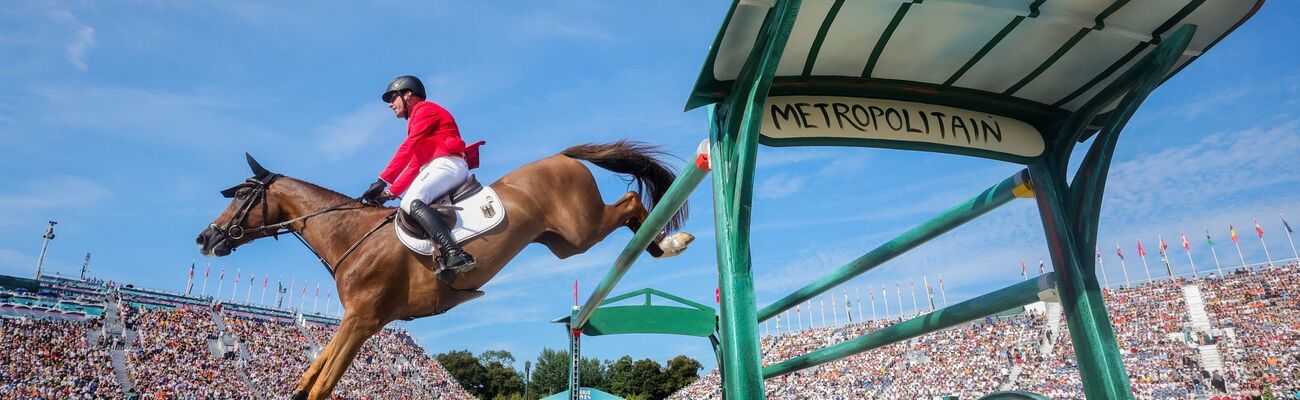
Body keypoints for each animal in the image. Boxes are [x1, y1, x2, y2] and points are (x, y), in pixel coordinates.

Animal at [193, 142, 691, 397]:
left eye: (244, 196)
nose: (205, 239)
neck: (350, 235)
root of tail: (564, 156)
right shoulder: (355, 322)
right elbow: (310, 376)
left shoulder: (362, 321)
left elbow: (322, 385)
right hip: (564, 243)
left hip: (581, 227)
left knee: (631, 202)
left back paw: (670, 242)